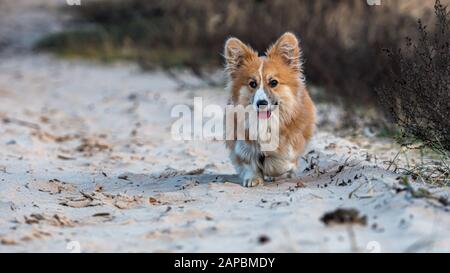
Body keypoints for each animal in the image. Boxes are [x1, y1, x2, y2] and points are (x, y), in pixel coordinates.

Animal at [223, 31, 314, 185]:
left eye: (273, 82)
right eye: (252, 84)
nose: (261, 103)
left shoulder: (292, 141)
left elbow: (282, 160)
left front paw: (273, 170)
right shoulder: (241, 142)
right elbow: (249, 161)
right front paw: (253, 178)